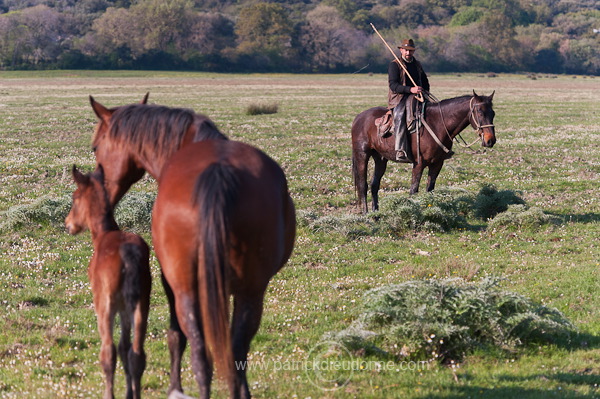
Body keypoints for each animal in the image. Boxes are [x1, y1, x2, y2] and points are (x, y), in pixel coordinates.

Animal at [63, 165, 150, 399]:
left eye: (74, 197)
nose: (68, 224)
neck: (103, 235)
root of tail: (128, 254)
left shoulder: (104, 303)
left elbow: (113, 350)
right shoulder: (124, 308)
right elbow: (125, 347)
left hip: (106, 304)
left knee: (108, 352)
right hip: (141, 303)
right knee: (137, 353)